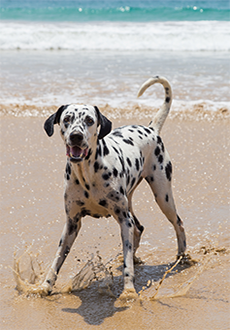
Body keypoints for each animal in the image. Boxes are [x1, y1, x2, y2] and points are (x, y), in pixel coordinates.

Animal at [42, 76, 186, 298]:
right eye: (67, 119)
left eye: (89, 120)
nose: (76, 136)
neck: (87, 175)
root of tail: (151, 129)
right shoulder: (72, 223)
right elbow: (57, 259)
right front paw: (45, 285)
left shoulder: (123, 219)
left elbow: (127, 265)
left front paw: (128, 292)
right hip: (131, 202)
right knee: (139, 227)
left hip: (163, 196)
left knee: (178, 223)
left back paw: (182, 256)